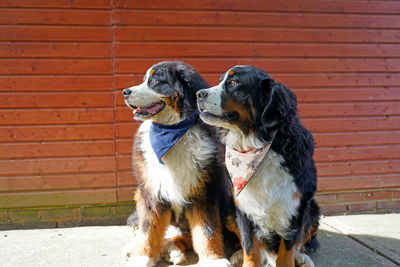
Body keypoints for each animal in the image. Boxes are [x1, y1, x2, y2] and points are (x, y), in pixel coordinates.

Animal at [195, 65, 320, 267]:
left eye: (233, 82)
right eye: (221, 80)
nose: (198, 94)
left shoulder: (294, 207)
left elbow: (288, 249)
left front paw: (293, 257)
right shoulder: (244, 206)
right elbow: (249, 245)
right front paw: (246, 257)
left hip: (313, 209)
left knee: (302, 241)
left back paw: (302, 257)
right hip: (228, 208)